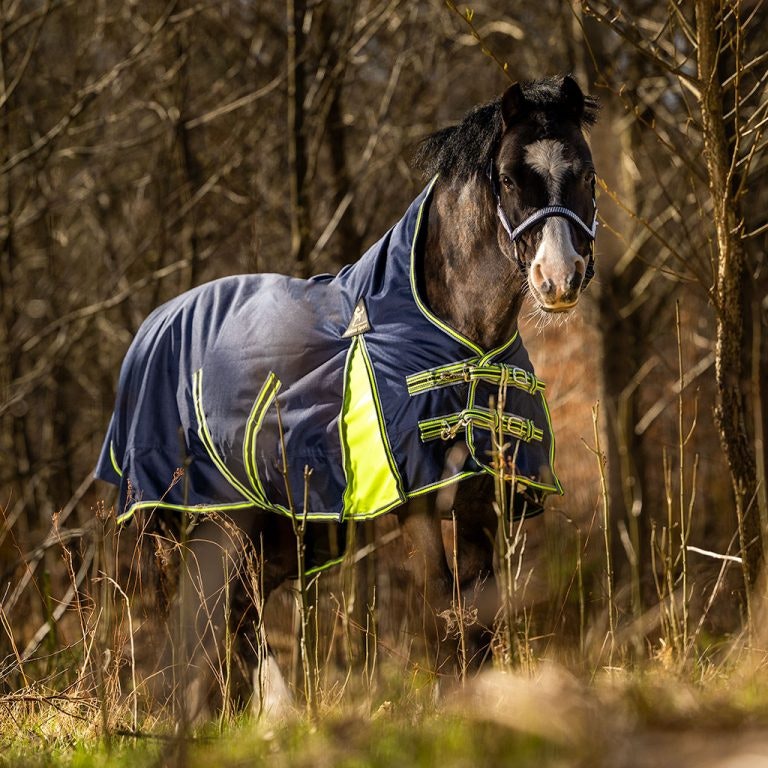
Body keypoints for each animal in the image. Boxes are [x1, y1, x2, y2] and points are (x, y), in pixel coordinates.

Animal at [96, 75, 600, 716]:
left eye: (585, 174)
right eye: (510, 179)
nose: (559, 279)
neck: (456, 335)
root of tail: (153, 328)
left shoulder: (478, 504)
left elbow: (478, 621)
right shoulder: (416, 506)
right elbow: (442, 611)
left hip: (271, 531)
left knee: (237, 616)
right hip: (174, 523)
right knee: (190, 618)